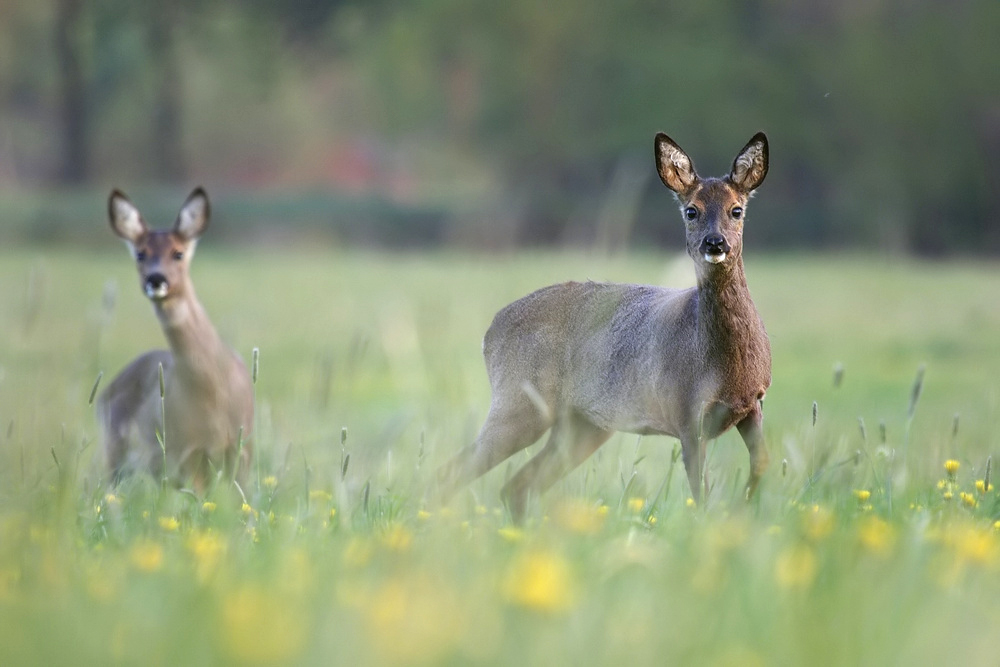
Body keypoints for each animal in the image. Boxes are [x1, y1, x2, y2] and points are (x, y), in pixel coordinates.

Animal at [98, 188, 254, 490]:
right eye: (140, 253)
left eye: (178, 253)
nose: (156, 279)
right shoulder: (184, 452)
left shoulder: (243, 446)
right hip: (118, 445)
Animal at [438, 133, 772, 520]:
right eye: (691, 210)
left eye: (737, 210)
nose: (715, 243)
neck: (725, 363)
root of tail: (490, 331)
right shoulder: (686, 412)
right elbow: (700, 494)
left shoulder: (753, 403)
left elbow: (761, 463)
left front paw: (746, 508)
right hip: (519, 402)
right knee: (453, 472)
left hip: (583, 425)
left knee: (517, 485)